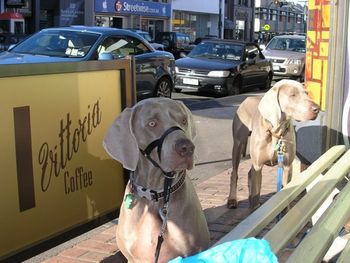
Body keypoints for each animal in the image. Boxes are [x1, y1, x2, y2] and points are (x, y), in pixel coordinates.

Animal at [227, 80, 320, 210]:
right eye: (292, 95)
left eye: (306, 93)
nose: (317, 108)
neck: (276, 133)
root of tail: (248, 98)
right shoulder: (258, 166)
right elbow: (256, 195)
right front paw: (254, 209)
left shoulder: (286, 165)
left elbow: (284, 194)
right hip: (238, 144)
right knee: (234, 173)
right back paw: (232, 200)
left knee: (249, 172)